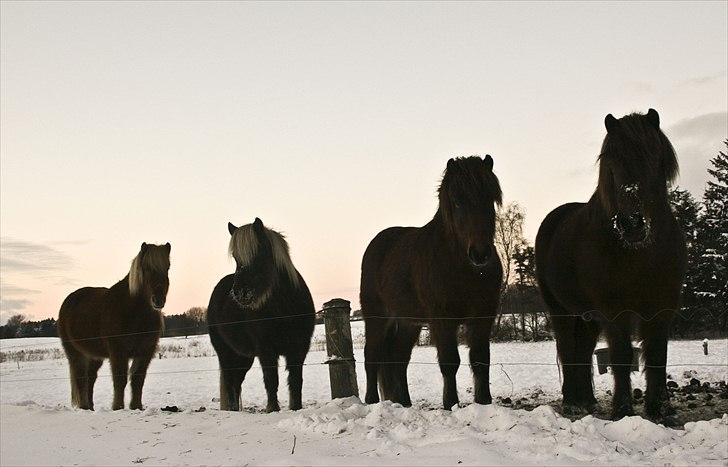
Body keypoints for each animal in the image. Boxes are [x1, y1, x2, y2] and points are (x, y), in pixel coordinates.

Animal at [57, 243, 171, 412]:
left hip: (95, 356)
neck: (133, 312)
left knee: (90, 378)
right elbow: (120, 379)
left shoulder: (145, 351)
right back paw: (84, 407)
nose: (158, 300)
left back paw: (90, 408)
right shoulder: (118, 351)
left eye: (167, 267)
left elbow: (138, 379)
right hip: (75, 353)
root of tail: (68, 300)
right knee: (81, 378)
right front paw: (118, 407)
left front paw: (136, 407)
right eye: (145, 268)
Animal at [208, 219, 316, 414]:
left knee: (236, 382)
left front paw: (296, 407)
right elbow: (271, 380)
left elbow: (296, 381)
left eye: (259, 253)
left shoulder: (299, 348)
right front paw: (272, 409)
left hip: (243, 356)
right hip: (226, 353)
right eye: (235, 257)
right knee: (229, 381)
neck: (283, 308)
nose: (240, 293)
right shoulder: (266, 350)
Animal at [536, 109, 684, 420]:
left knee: (583, 350)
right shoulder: (615, 312)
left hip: (588, 316)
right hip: (561, 311)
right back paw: (572, 401)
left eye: (653, 160)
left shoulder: (661, 309)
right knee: (568, 349)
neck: (639, 253)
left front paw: (659, 409)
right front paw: (623, 410)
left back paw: (587, 400)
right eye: (612, 166)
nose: (632, 224)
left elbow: (657, 356)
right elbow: (622, 357)